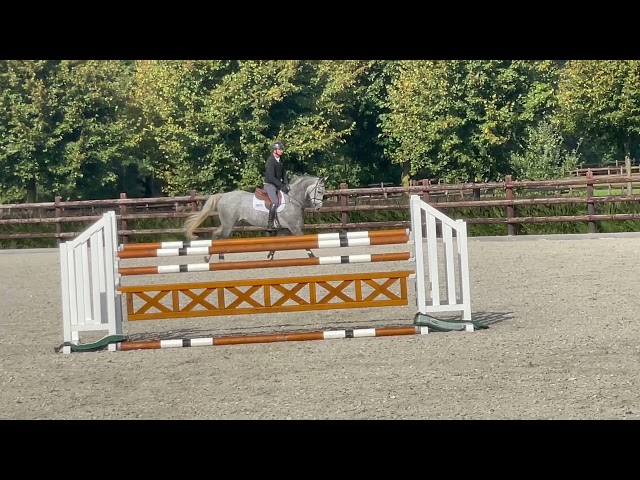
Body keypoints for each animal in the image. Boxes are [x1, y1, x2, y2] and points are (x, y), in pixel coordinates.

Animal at [184, 175, 328, 262]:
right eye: (319, 191)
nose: (319, 208)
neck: (293, 199)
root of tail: (223, 196)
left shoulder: (284, 229)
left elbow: (275, 245)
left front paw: (269, 257)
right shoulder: (295, 228)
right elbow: (307, 245)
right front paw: (313, 257)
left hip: (232, 223)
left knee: (217, 234)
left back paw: (213, 258)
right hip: (229, 224)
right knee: (221, 237)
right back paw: (216, 258)